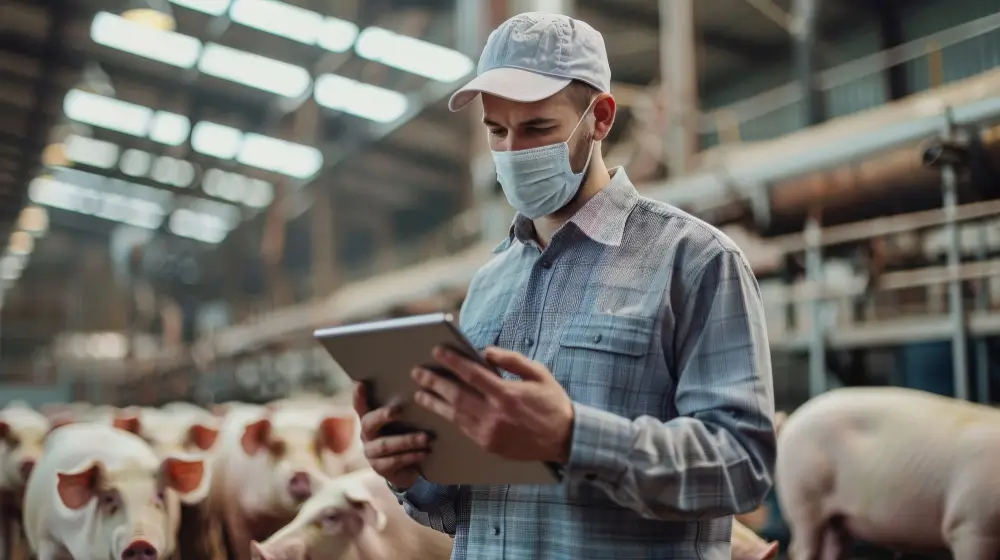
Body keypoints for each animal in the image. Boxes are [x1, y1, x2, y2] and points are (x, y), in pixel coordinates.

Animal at [209, 404, 366, 556]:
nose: (302, 474)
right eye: (276, 447)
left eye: (318, 447)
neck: (278, 515)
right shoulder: (235, 512)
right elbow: (241, 545)